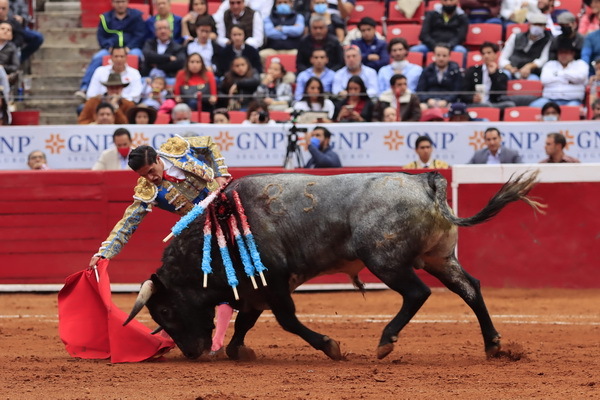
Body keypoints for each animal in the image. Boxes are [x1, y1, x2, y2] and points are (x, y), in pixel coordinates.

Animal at [124, 171, 543, 361]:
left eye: (165, 310)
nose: (192, 352)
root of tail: (425, 182)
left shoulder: (273, 282)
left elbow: (287, 320)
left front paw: (331, 346)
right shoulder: (255, 289)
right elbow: (245, 320)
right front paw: (238, 350)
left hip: (386, 261)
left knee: (417, 292)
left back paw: (385, 342)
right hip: (440, 257)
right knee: (470, 287)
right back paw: (493, 345)